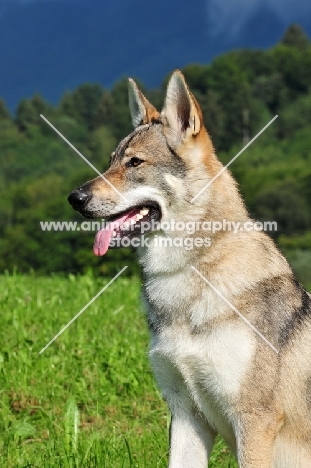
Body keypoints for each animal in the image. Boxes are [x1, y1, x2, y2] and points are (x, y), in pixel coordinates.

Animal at [68, 70, 311, 468]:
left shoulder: (253, 420)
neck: (187, 277)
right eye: (111, 162)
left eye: (135, 163)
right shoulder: (184, 413)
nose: (74, 198)